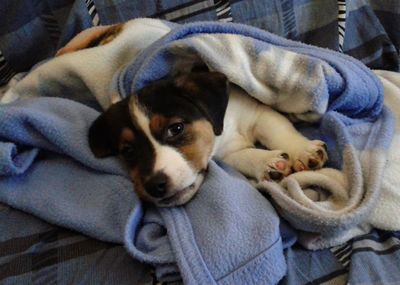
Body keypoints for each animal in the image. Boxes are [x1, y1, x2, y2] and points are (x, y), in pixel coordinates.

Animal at [58, 22, 328, 206]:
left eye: (176, 128)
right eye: (128, 151)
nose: (154, 186)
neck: (221, 131)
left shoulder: (259, 113)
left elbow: (281, 131)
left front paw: (303, 151)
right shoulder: (227, 155)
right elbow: (245, 157)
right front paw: (268, 162)